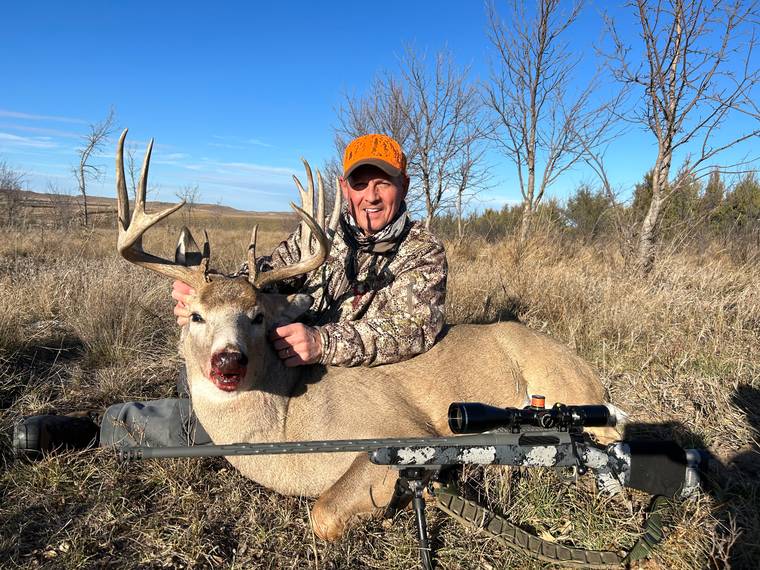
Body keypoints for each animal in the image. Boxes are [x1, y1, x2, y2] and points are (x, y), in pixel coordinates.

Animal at [115, 130, 617, 540]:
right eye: (196, 316)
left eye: (257, 316)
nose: (228, 361)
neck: (289, 428)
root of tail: (589, 373)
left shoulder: (402, 432)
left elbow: (322, 513)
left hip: (565, 390)